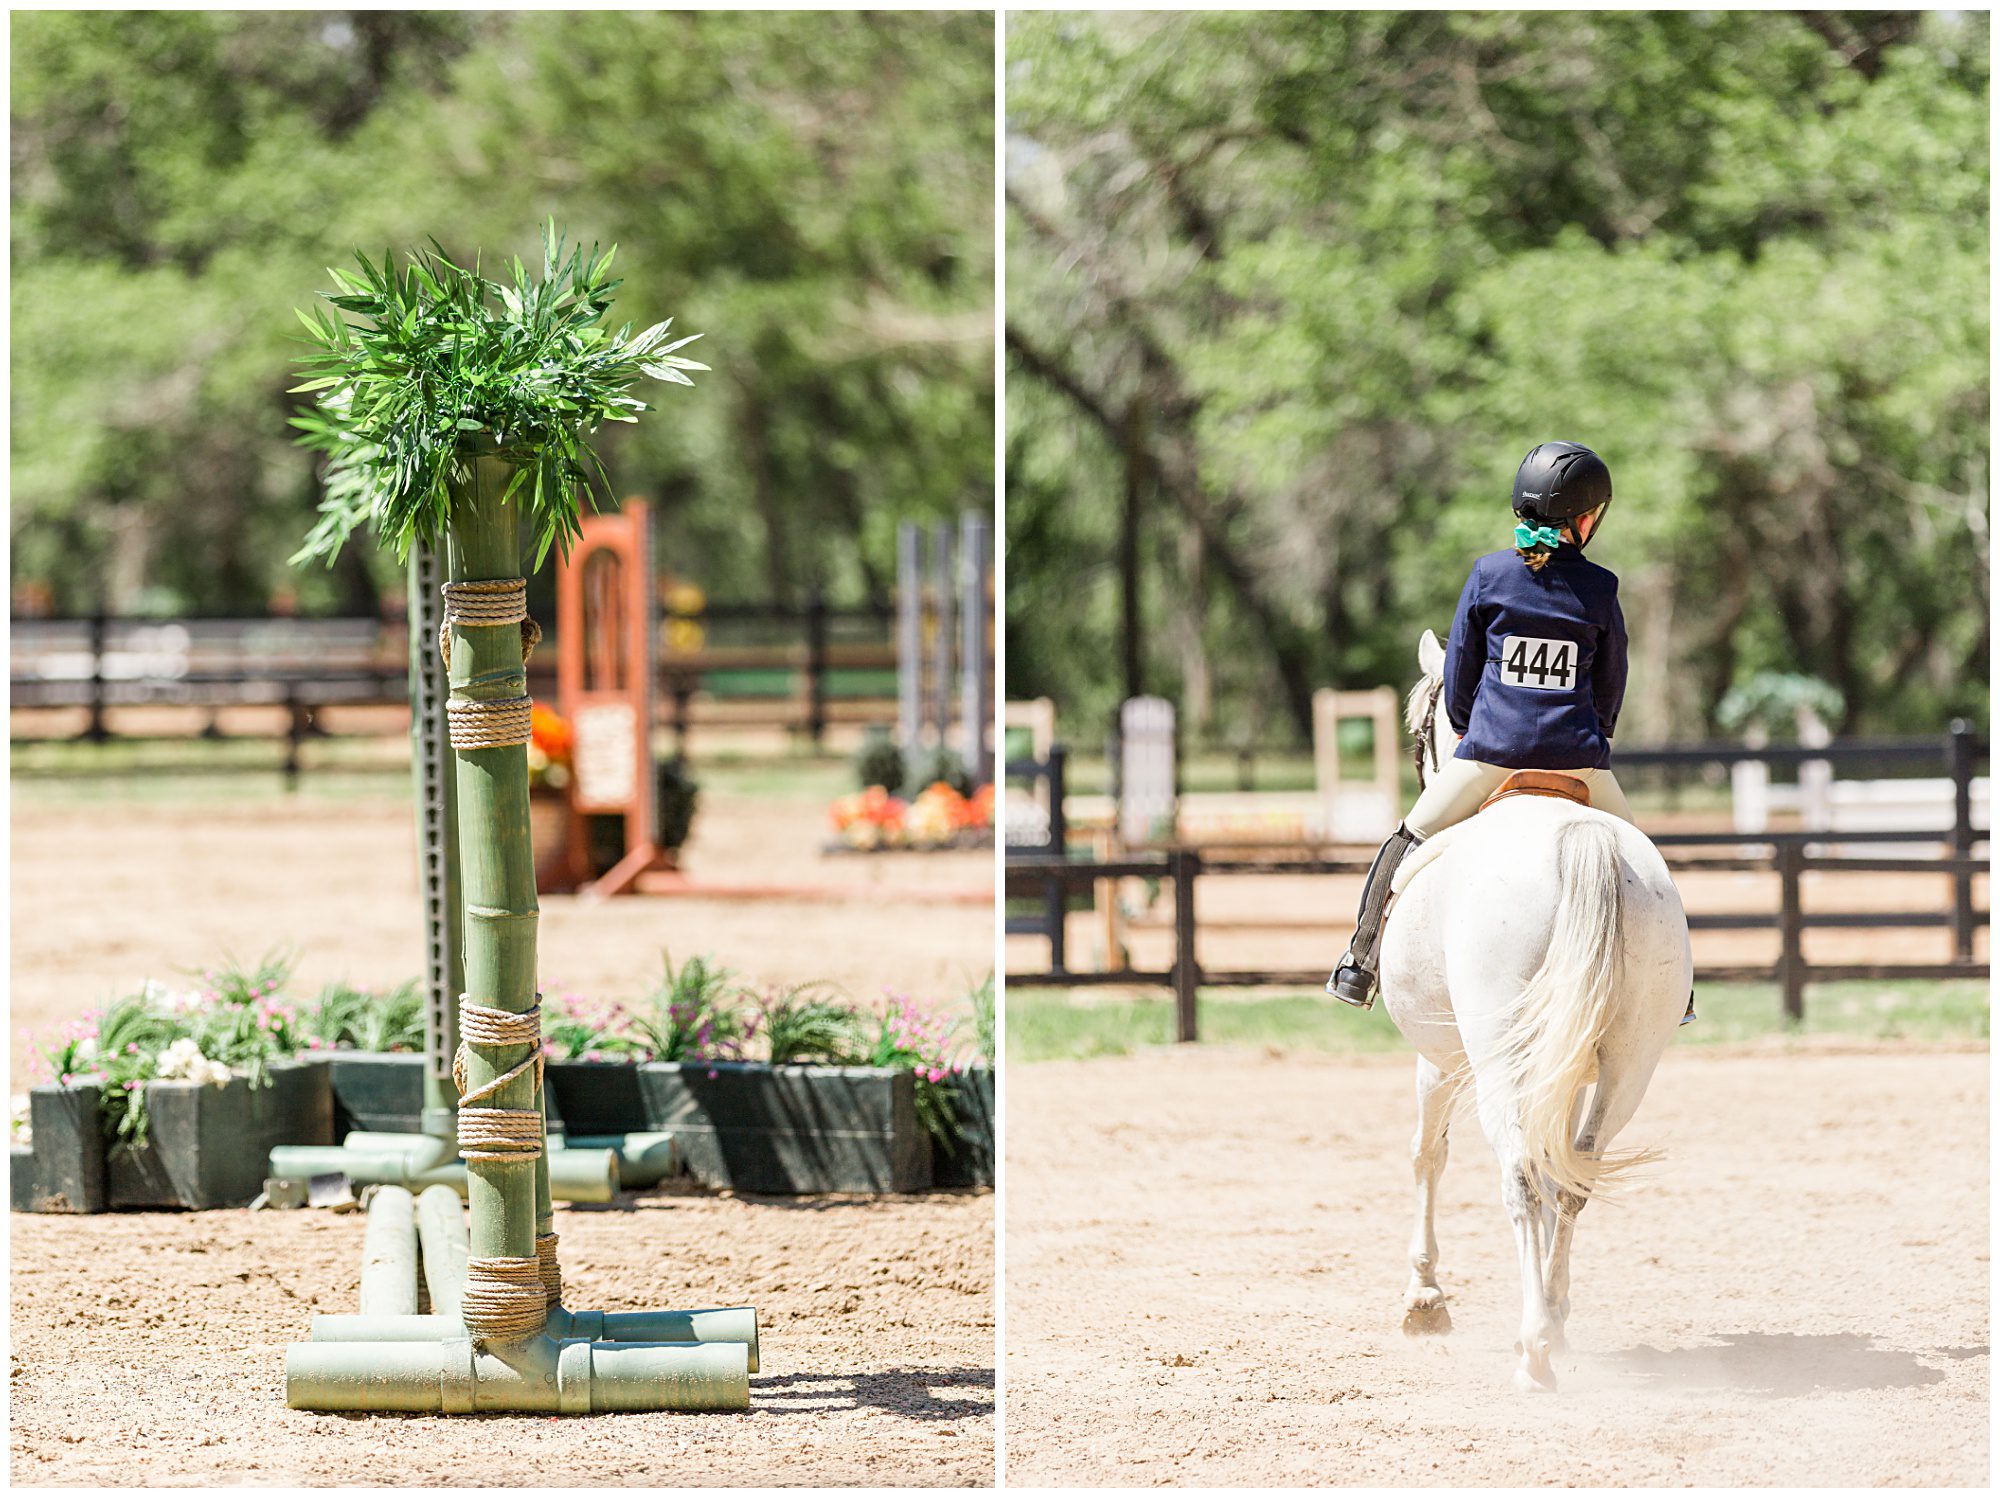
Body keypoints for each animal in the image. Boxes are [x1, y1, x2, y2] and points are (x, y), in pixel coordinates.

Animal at [1384, 628, 1696, 1392]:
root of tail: (1582, 841)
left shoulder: (1439, 1060)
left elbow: (1427, 1155)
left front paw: (1424, 1297)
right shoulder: (1572, 1070)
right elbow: (1561, 1171)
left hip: (1497, 1061)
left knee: (1522, 1174)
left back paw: (1532, 1350)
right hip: (1630, 1067)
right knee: (1574, 1174)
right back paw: (1550, 1320)